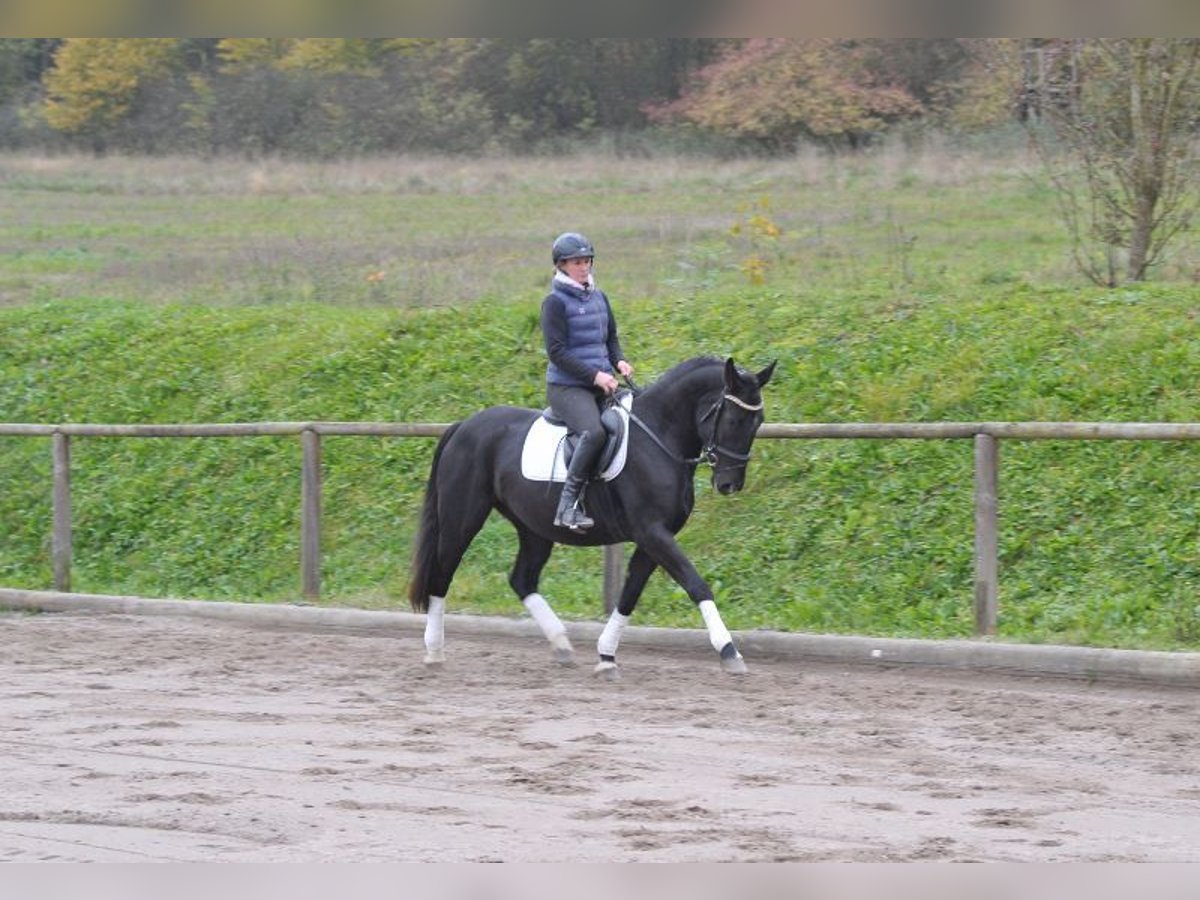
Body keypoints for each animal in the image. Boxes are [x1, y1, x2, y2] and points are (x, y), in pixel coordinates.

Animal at [408, 355, 772, 681]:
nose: (729, 484)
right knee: (442, 575)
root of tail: (463, 426)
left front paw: (607, 656)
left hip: (535, 528)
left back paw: (561, 644)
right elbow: (696, 583)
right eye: (734, 420)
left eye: (758, 422)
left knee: (522, 579)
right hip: (462, 518)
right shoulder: (652, 532)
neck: (659, 436)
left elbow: (629, 594)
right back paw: (434, 652)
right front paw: (729, 651)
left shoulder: (652, 538)